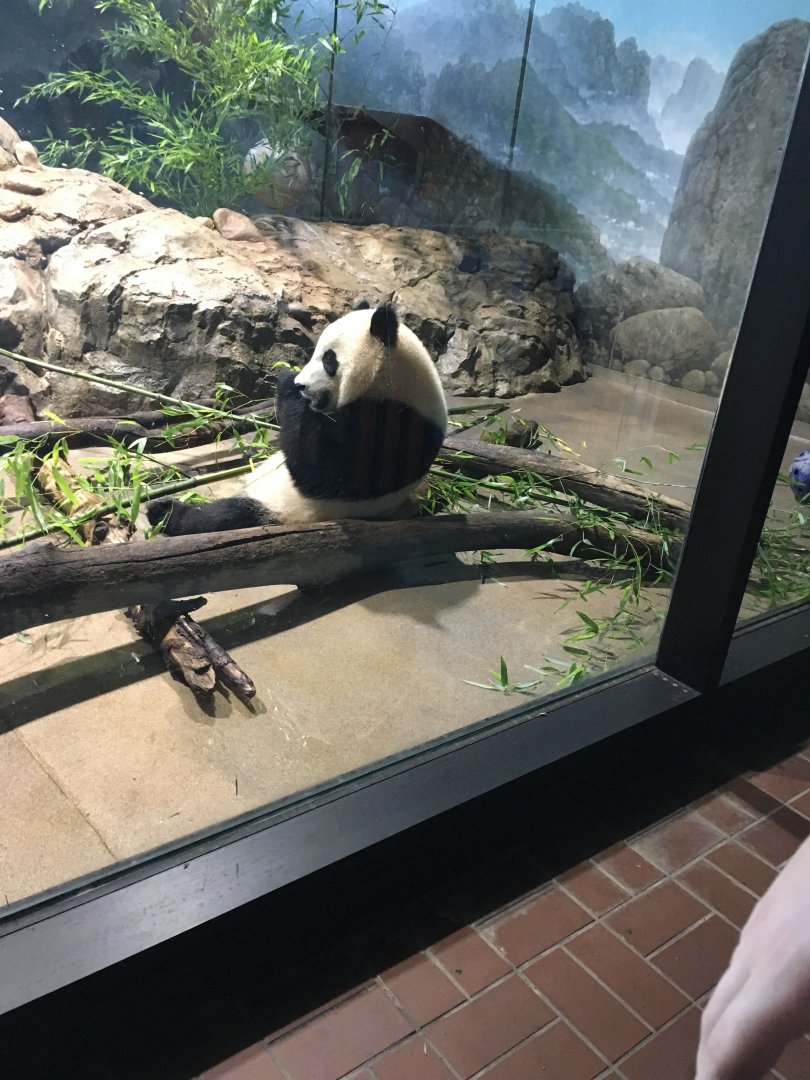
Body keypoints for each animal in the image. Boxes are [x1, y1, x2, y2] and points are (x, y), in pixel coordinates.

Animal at [145, 303, 448, 536]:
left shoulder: (392, 422)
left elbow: (321, 472)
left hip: (286, 509)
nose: (302, 385)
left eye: (329, 359)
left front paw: (287, 384)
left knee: (227, 516)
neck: (396, 384)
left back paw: (164, 512)